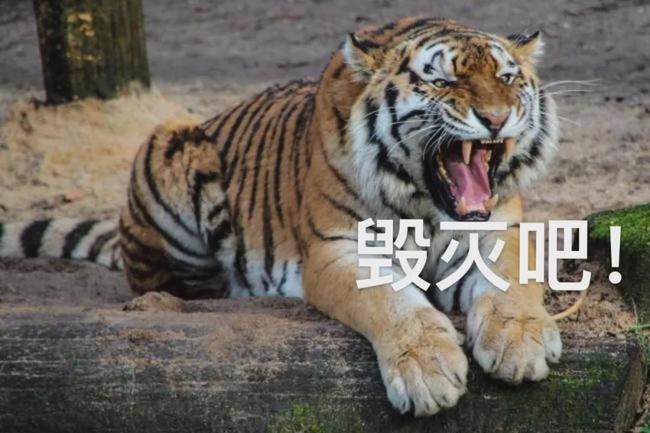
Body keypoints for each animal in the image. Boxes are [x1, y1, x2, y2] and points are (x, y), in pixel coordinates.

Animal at [0, 17, 562, 416]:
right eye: (443, 81)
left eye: (507, 78)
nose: (496, 118)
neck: (427, 205)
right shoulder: (337, 249)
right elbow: (391, 302)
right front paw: (427, 371)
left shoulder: (500, 230)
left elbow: (513, 280)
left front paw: (519, 342)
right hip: (171, 141)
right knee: (163, 284)